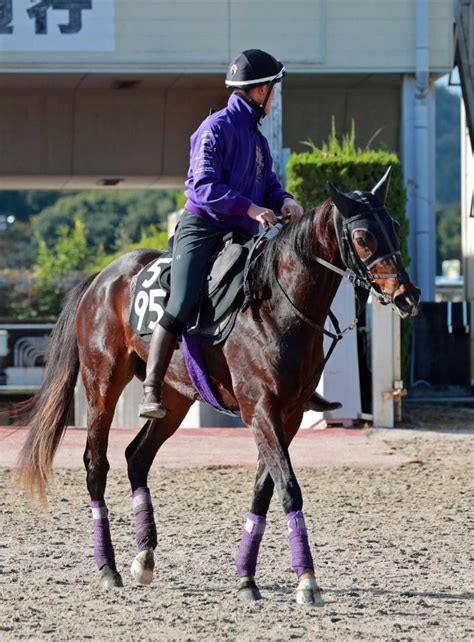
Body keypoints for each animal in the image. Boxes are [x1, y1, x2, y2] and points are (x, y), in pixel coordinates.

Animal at [17, 172, 418, 604]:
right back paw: (108, 567)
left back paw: (144, 557)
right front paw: (307, 580)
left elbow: (264, 489)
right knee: (97, 463)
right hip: (102, 386)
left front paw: (246, 577)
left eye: (395, 227)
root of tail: (101, 279)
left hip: (174, 400)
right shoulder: (260, 409)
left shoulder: (289, 414)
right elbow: (288, 487)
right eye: (362, 237)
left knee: (137, 457)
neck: (276, 306)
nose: (406, 296)